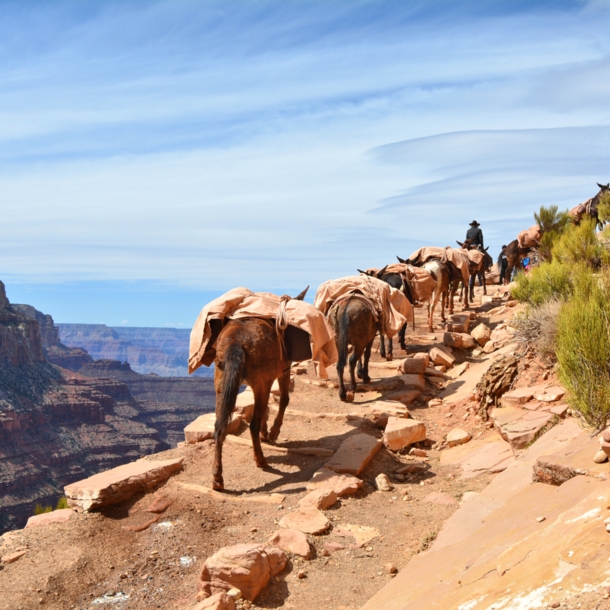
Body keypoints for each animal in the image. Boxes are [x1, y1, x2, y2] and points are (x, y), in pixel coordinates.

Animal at [214, 284, 308, 490]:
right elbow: (284, 400)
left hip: (222, 387)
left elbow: (265, 409)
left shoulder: (264, 383)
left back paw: (217, 479)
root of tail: (236, 341)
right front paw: (273, 432)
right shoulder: (282, 372)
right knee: (252, 425)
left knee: (219, 426)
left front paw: (267, 433)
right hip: (259, 385)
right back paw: (261, 460)